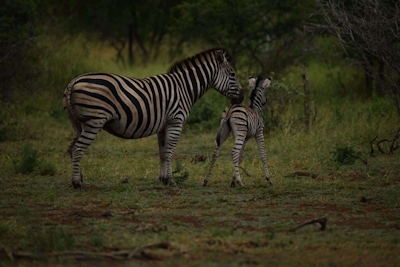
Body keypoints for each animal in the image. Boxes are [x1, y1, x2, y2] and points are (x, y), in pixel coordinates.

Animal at [63, 48, 242, 191]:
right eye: (233, 74)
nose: (242, 96)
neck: (184, 88)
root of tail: (73, 82)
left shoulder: (163, 126)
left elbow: (162, 152)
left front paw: (163, 179)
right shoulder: (175, 122)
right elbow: (170, 152)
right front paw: (171, 181)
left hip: (78, 124)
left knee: (72, 148)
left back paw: (79, 178)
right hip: (94, 121)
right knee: (78, 149)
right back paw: (77, 184)